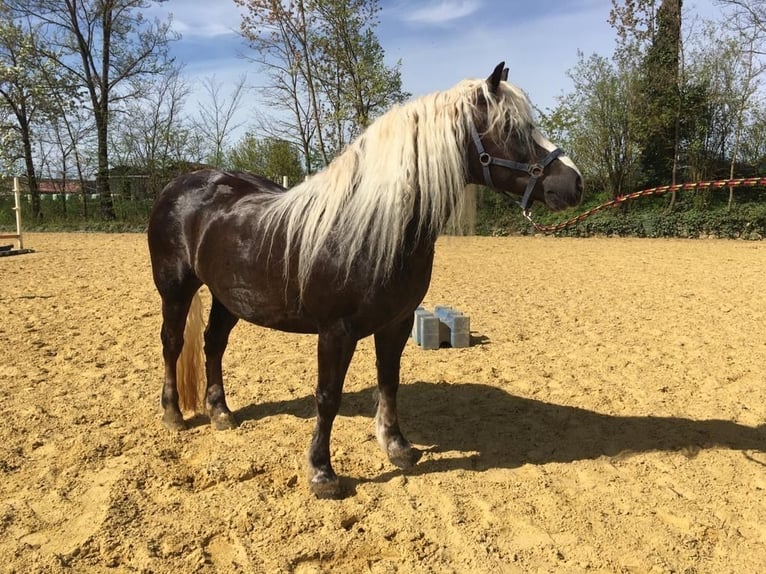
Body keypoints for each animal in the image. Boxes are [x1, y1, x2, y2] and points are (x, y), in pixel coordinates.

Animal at [148, 63, 584, 500]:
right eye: (512, 129)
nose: (575, 183)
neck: (370, 226)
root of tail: (179, 184)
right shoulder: (335, 331)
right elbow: (328, 397)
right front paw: (322, 473)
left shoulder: (398, 322)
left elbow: (389, 381)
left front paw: (397, 447)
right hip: (175, 289)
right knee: (172, 343)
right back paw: (173, 415)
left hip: (229, 297)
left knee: (213, 344)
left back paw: (220, 412)